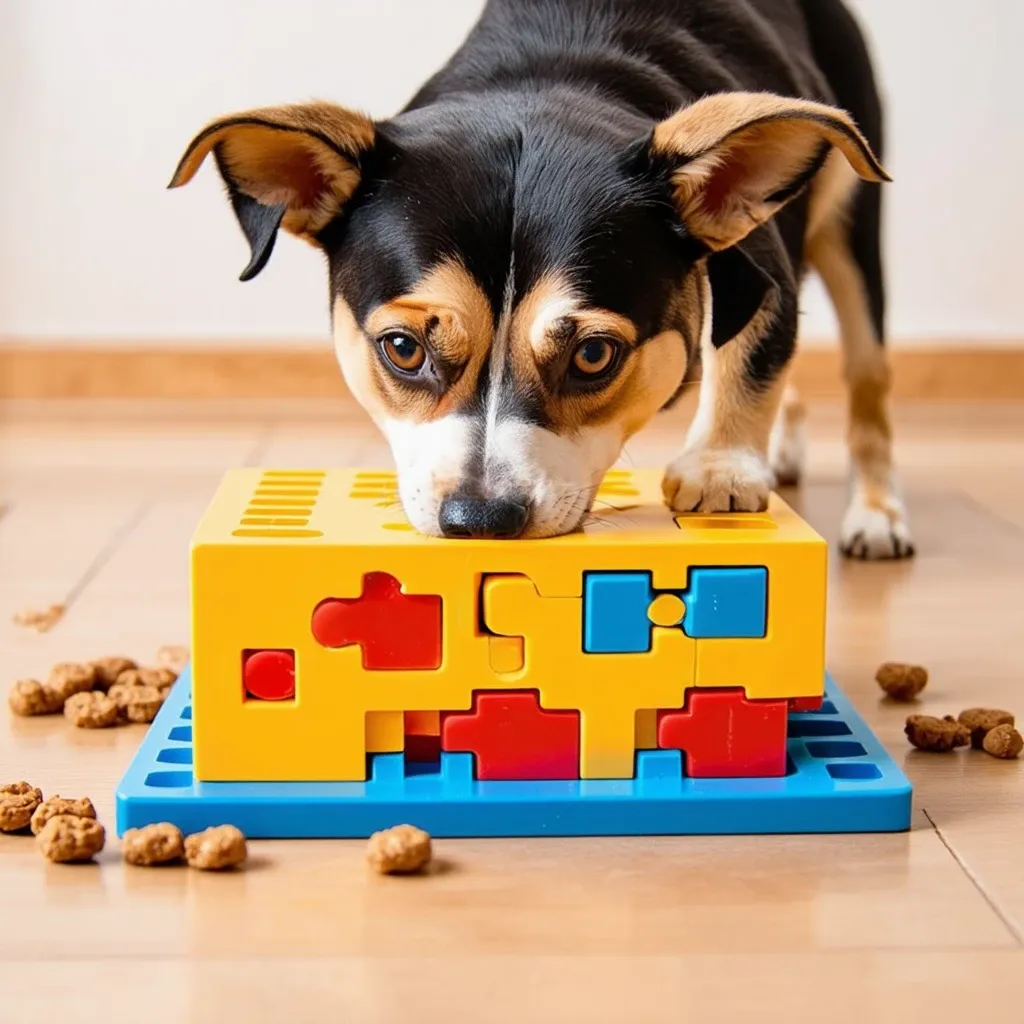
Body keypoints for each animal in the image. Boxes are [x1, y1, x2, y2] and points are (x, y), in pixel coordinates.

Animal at [172, 0, 917, 561]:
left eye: (593, 355)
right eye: (403, 349)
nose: (479, 519)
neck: (546, 76)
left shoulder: (762, 266)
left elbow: (753, 358)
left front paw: (721, 469)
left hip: (852, 223)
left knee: (868, 375)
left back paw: (877, 513)